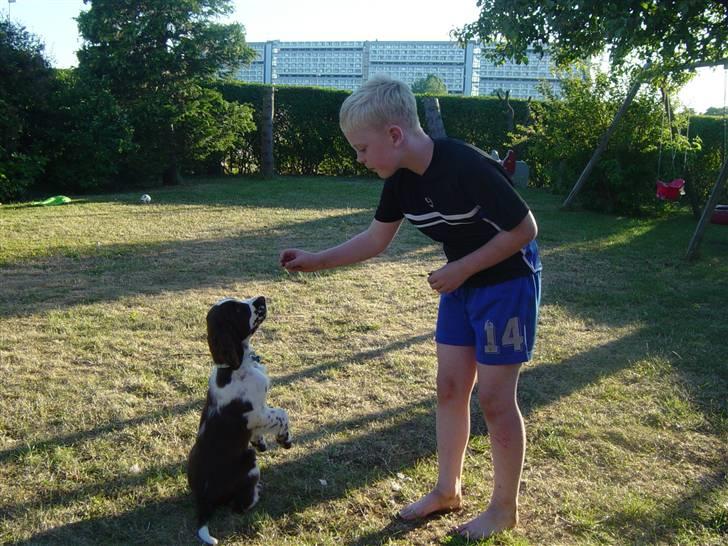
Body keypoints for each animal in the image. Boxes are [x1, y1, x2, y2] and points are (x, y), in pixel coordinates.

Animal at [186, 296, 292, 540]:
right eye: (235, 309)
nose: (261, 298)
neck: (236, 367)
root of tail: (204, 500)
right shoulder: (256, 412)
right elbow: (282, 414)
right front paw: (284, 439)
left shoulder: (260, 413)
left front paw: (260, 441)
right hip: (250, 464)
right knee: (239, 506)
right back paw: (257, 493)